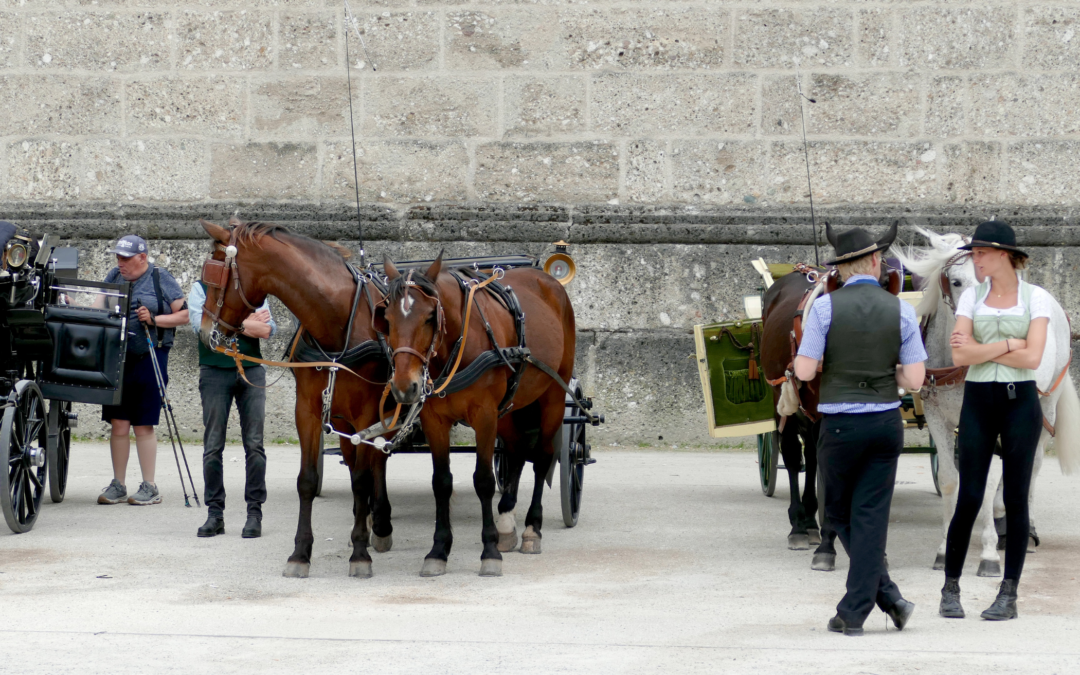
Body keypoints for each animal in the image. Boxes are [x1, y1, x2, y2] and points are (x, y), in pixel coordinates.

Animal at [198, 218, 393, 574]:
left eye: (215, 276)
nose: (207, 333)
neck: (337, 319)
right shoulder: (309, 411)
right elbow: (308, 481)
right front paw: (300, 553)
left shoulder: (368, 412)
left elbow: (362, 479)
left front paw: (360, 553)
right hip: (343, 420)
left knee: (378, 461)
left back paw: (380, 523)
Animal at [373, 254, 574, 574]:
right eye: (387, 319)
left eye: (429, 317)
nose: (405, 387)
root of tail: (548, 280)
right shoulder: (435, 421)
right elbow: (441, 482)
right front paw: (438, 550)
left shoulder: (484, 415)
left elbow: (483, 480)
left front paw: (489, 551)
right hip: (508, 408)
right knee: (517, 449)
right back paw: (506, 520)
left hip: (552, 397)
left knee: (542, 457)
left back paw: (532, 528)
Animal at [894, 226, 1080, 574]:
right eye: (956, 281)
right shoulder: (939, 419)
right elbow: (951, 481)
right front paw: (946, 547)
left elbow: (990, 479)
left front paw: (989, 552)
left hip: (1045, 404)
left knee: (1032, 464)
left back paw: (1025, 530)